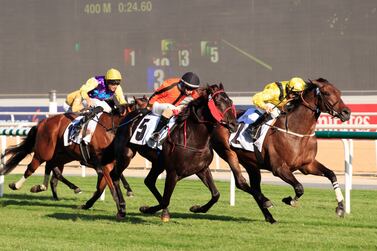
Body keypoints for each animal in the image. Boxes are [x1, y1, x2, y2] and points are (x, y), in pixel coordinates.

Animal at [210, 78, 352, 218]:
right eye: (327, 93)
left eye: (339, 92)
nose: (347, 113)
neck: (297, 132)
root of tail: (220, 120)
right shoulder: (278, 168)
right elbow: (299, 187)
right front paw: (290, 200)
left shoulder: (307, 165)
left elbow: (331, 174)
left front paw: (340, 207)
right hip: (229, 153)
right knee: (241, 182)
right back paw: (266, 202)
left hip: (251, 163)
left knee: (255, 186)